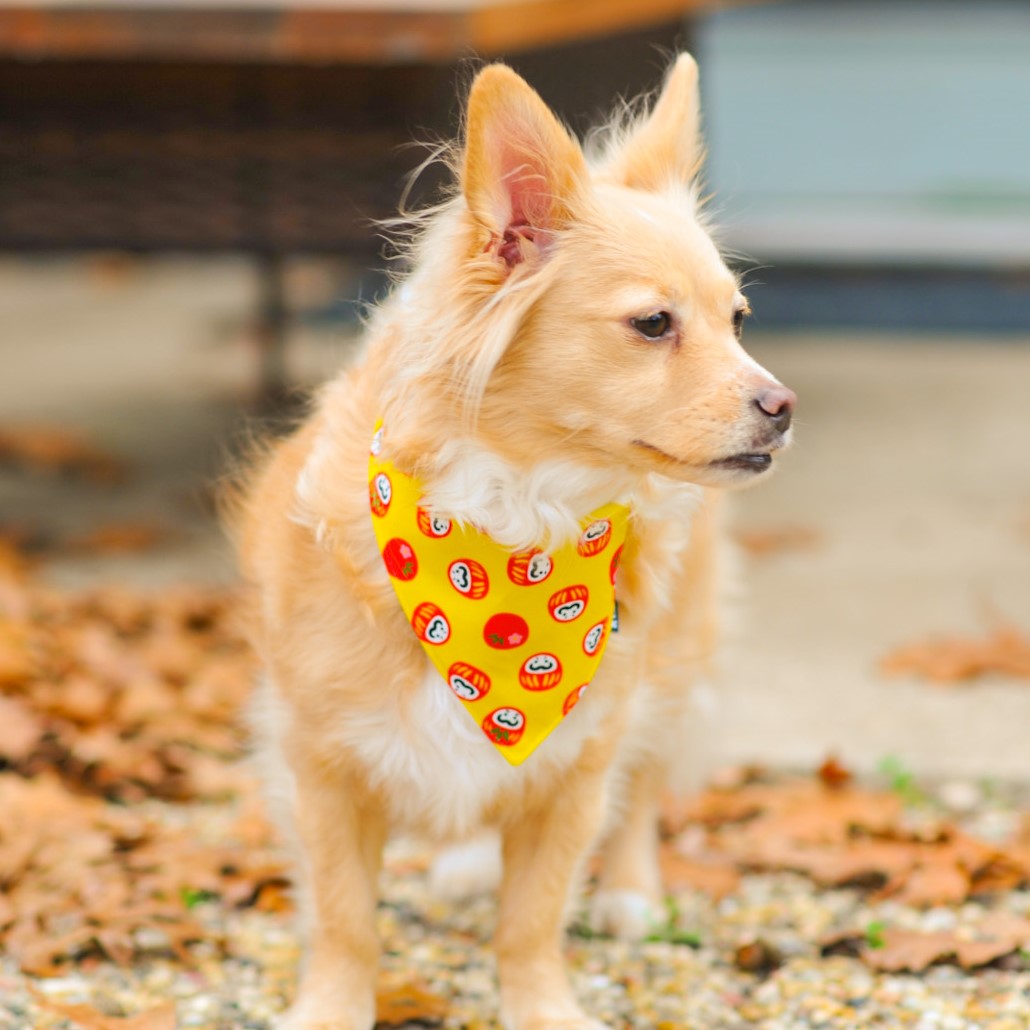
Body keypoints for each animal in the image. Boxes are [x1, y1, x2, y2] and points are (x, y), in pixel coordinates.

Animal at [235, 56, 795, 1030]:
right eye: (655, 324)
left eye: (737, 319)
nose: (783, 405)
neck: (512, 540)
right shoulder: (320, 766)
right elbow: (345, 921)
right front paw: (333, 1007)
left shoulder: (578, 766)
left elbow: (531, 920)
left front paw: (543, 1007)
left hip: (675, 660)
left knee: (646, 784)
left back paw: (631, 892)